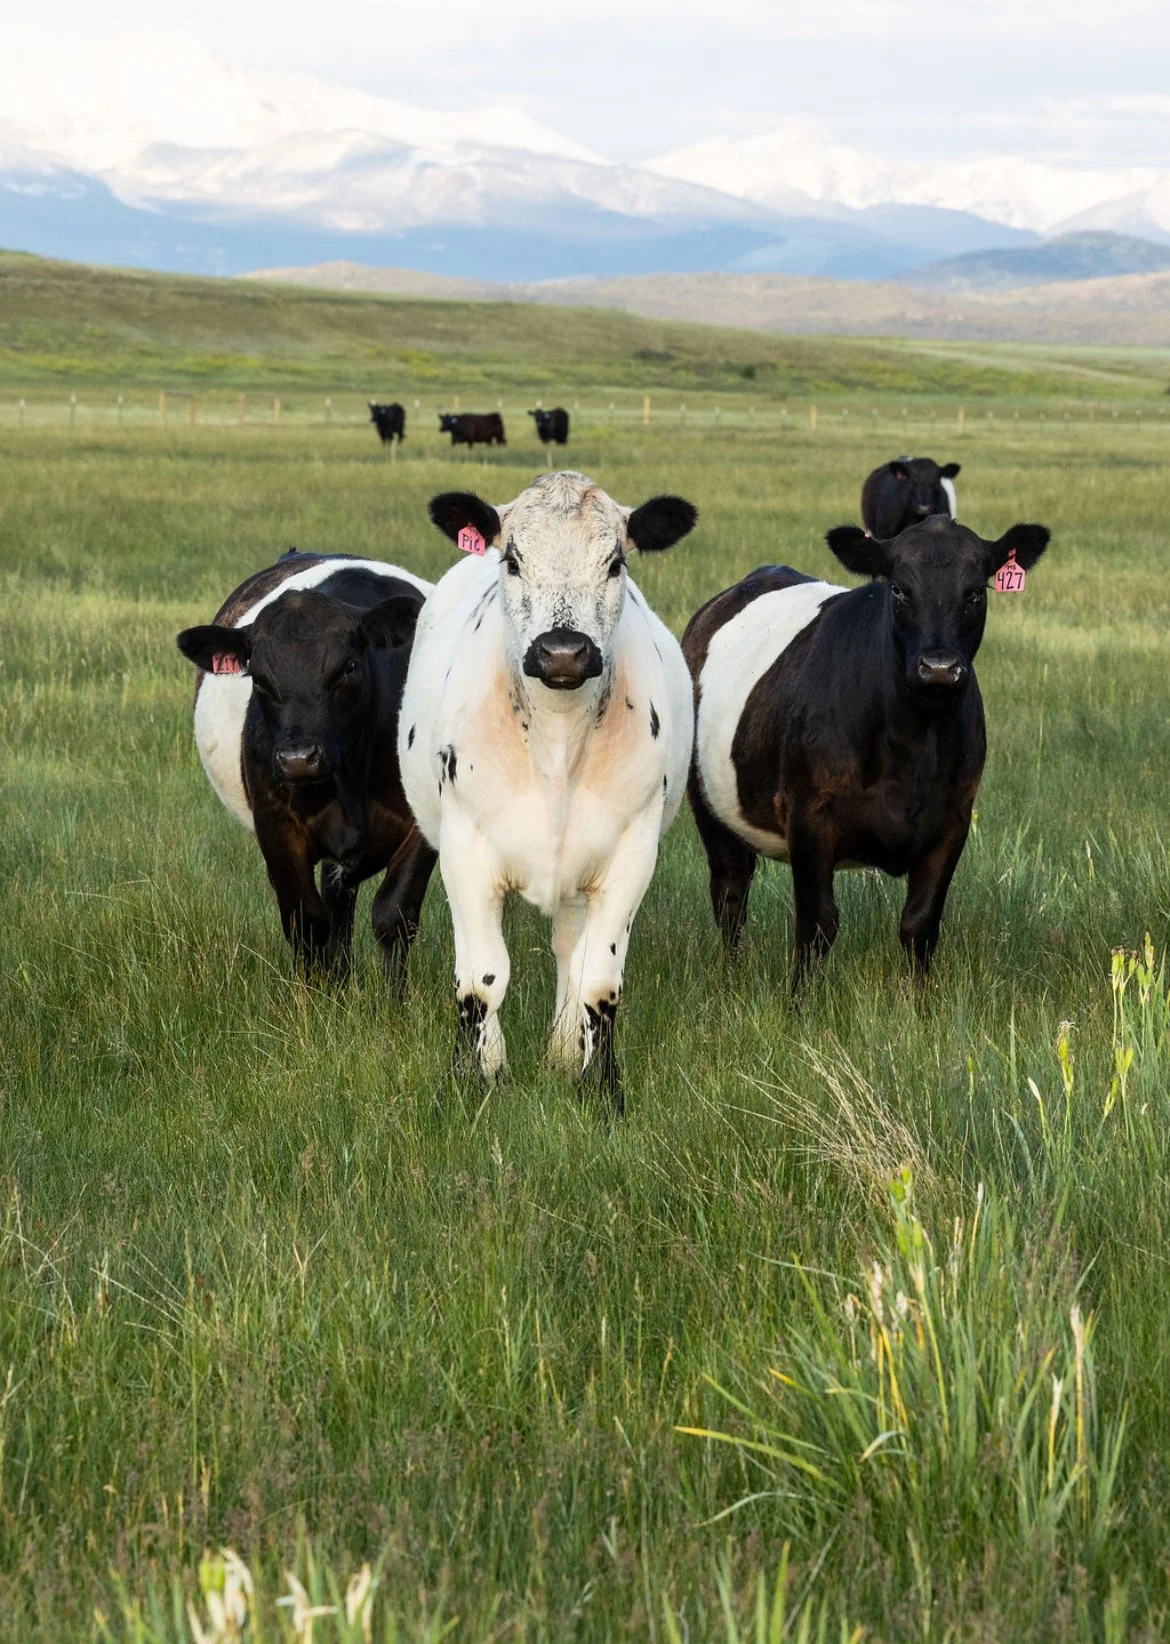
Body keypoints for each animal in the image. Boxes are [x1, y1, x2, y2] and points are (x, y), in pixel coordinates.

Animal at [177, 552, 436, 981]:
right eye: (259, 680)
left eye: (348, 668)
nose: (298, 759)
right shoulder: (276, 827)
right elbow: (306, 922)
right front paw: (313, 997)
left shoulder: (426, 819)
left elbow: (394, 916)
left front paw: (392, 1000)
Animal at [398, 470, 698, 1114]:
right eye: (512, 559)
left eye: (615, 562)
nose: (564, 650)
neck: (557, 745)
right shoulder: (464, 851)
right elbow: (481, 979)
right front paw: (473, 1079)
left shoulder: (632, 854)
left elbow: (598, 981)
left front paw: (600, 1084)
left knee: (571, 949)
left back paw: (563, 1050)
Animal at [682, 512, 1050, 988]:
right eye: (898, 589)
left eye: (975, 593)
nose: (938, 669)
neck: (913, 747)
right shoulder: (809, 816)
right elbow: (817, 923)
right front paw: (798, 1003)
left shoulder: (953, 820)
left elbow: (920, 924)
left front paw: (920, 1003)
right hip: (708, 803)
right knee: (730, 890)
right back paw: (732, 978)